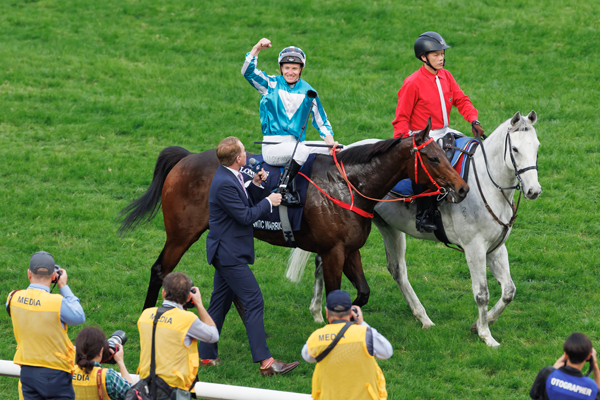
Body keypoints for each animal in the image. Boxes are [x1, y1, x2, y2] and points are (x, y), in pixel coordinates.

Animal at [120, 120, 468, 310]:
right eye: (434, 158)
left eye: (443, 153)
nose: (462, 188)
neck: (348, 184)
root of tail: (186, 158)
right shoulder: (332, 252)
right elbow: (335, 295)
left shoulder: (350, 250)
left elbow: (362, 293)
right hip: (181, 234)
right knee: (159, 270)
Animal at [288, 111, 540, 346]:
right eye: (515, 149)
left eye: (537, 147)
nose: (534, 191)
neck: (487, 186)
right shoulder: (474, 248)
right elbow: (482, 294)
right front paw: (486, 336)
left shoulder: (496, 248)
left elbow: (509, 291)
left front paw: (478, 325)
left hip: (387, 228)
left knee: (393, 269)